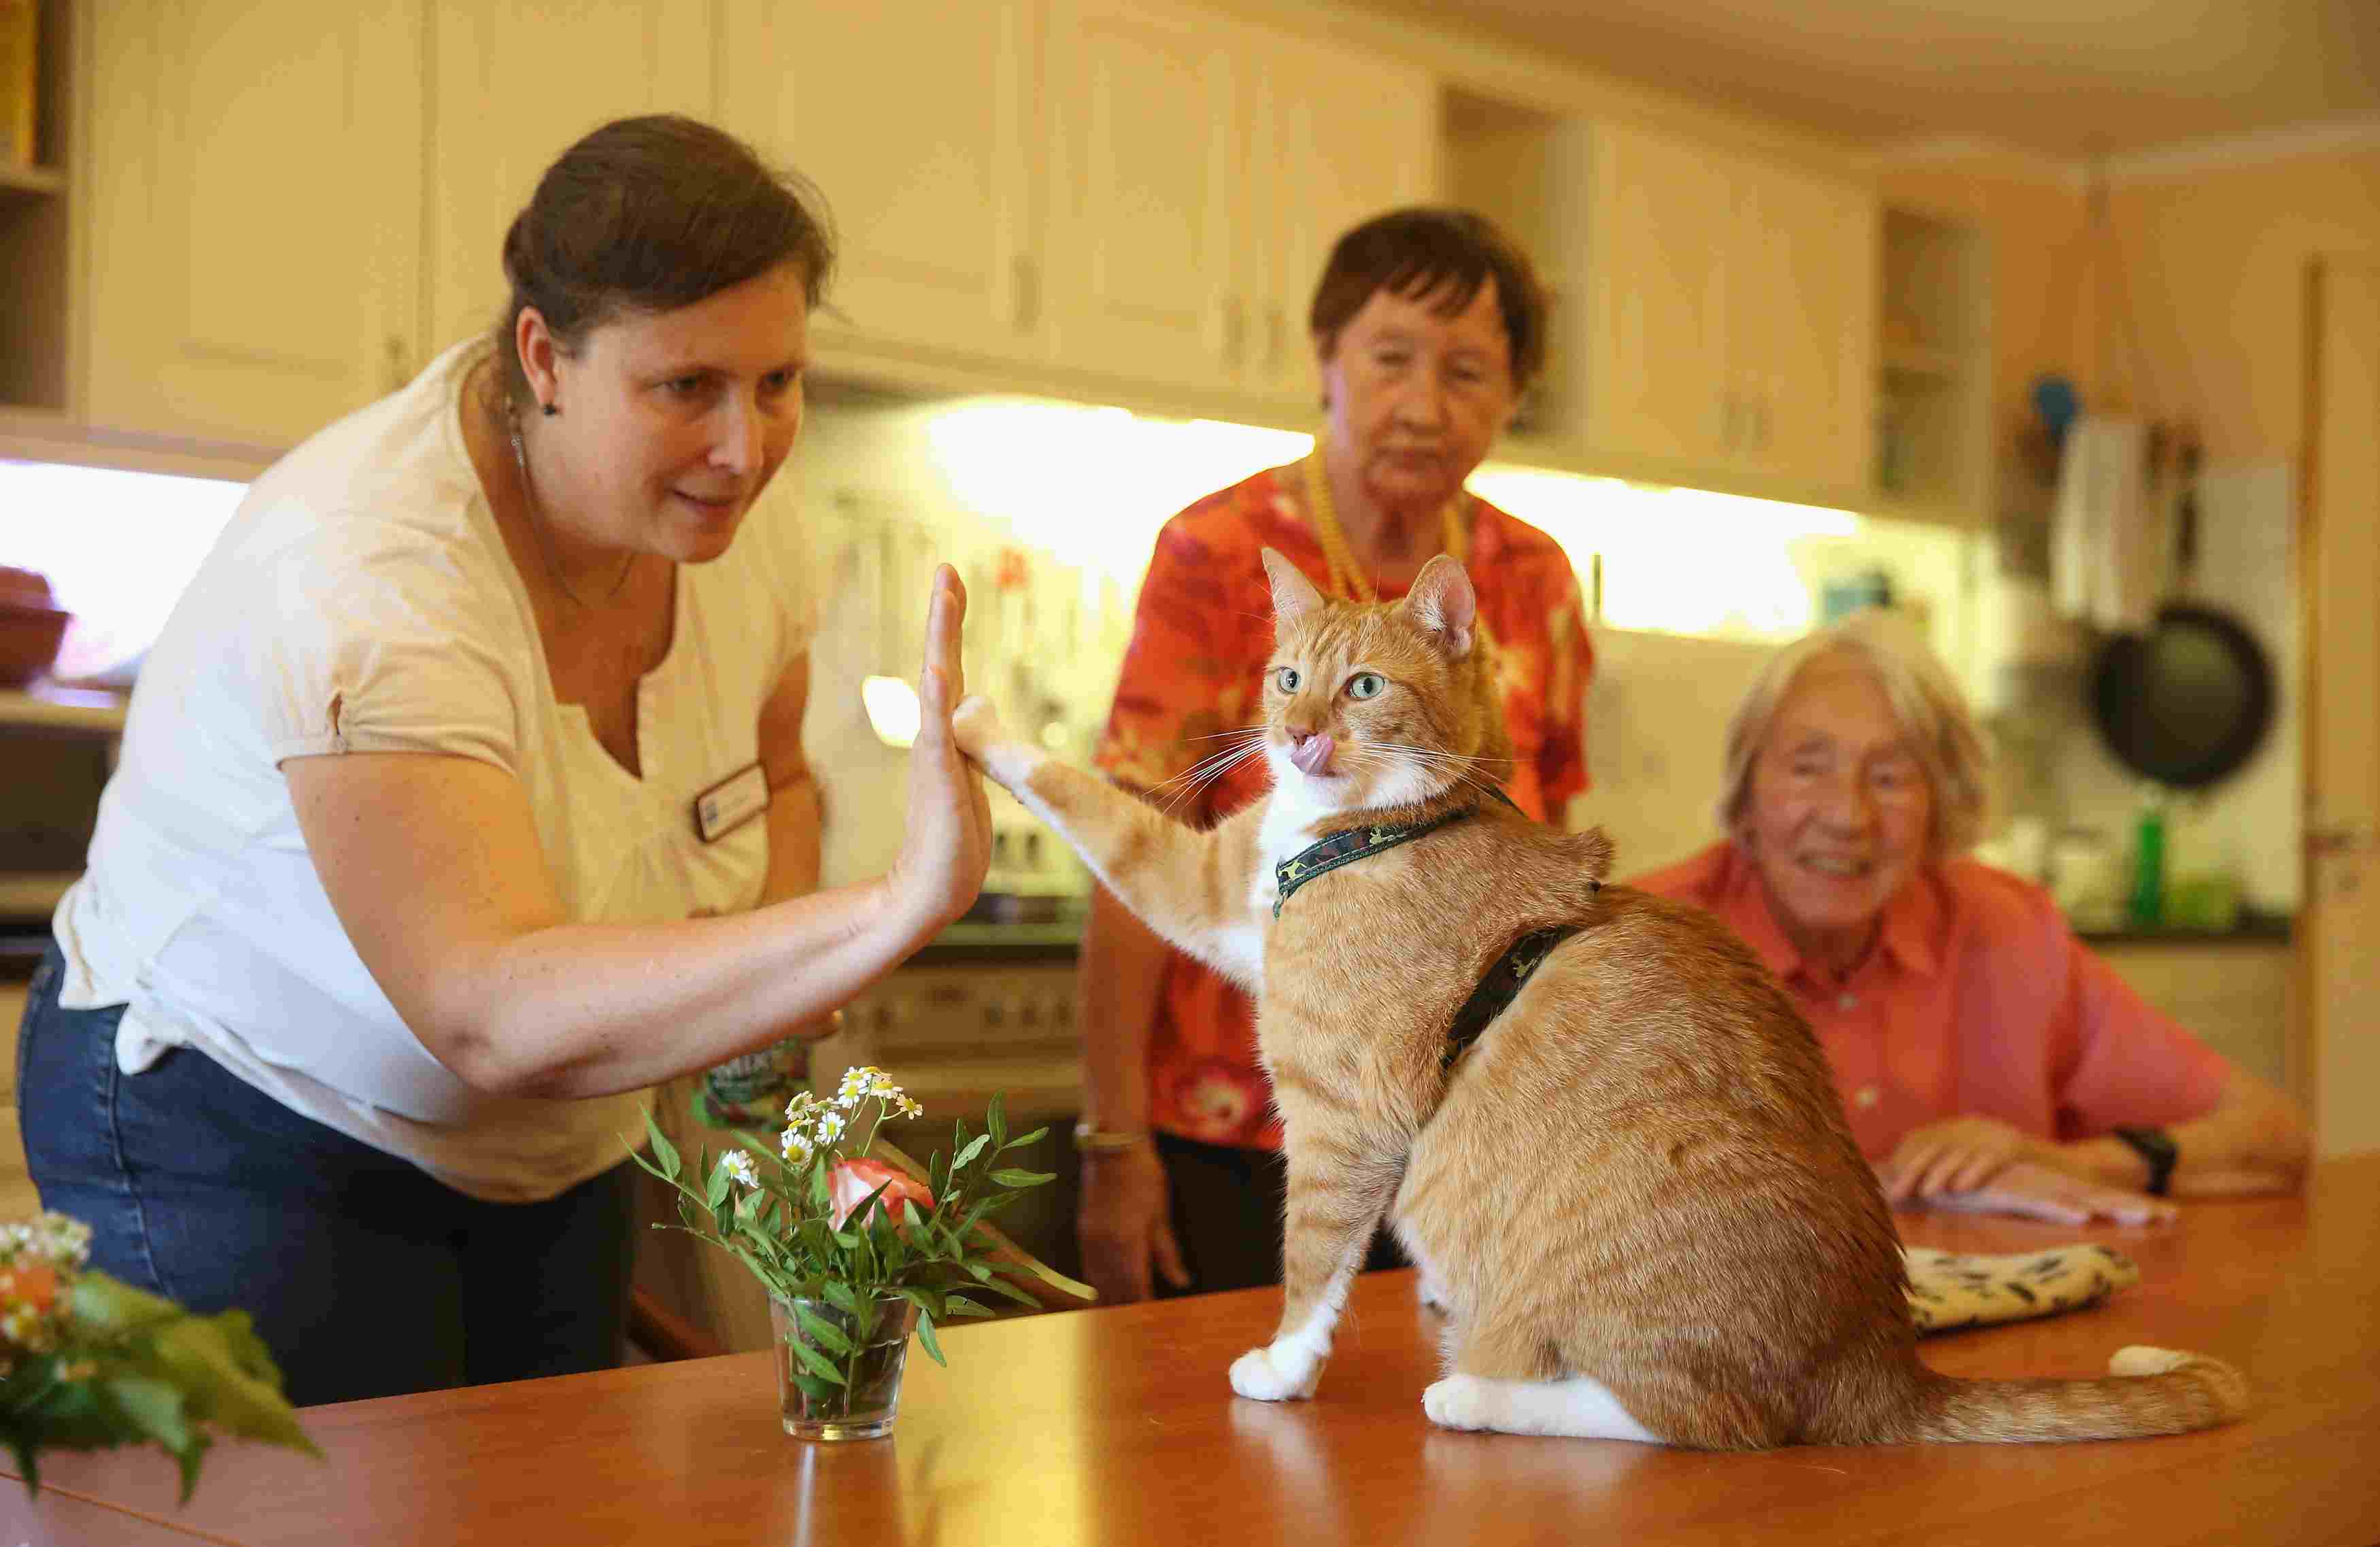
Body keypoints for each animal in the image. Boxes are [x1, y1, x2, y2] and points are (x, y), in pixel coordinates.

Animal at [942, 547, 2228, 1438]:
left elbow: (1310, 1264)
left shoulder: (1342, 1117)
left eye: (1364, 688)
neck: (1363, 833)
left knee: (1705, 1422)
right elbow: (1094, 804)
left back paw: (1480, 1395)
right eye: (1286, 677)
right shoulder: (1210, 887)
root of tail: (1887, 1366)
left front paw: (1281, 1367)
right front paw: (970, 715)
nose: (1299, 738)